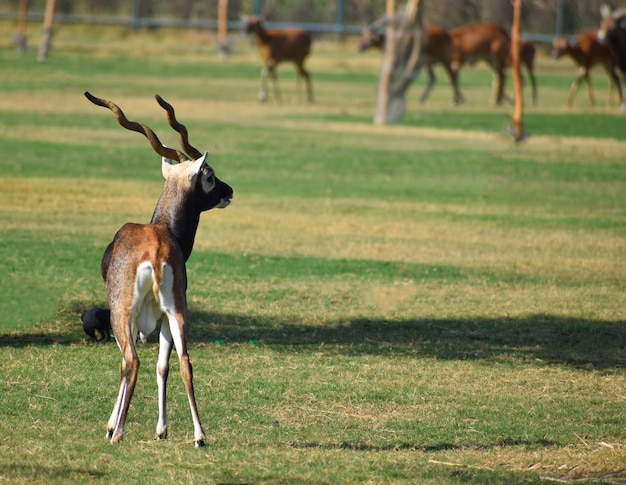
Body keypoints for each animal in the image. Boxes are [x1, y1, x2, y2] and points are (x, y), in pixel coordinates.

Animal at [84, 91, 233, 446]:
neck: (164, 229)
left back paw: (119, 433)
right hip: (177, 310)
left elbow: (126, 364)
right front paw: (162, 429)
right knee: (184, 361)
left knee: (131, 361)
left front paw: (111, 424)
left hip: (123, 312)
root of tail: (154, 250)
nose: (229, 191)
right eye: (210, 176)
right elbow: (164, 366)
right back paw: (200, 435)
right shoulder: (164, 316)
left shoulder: (127, 318)